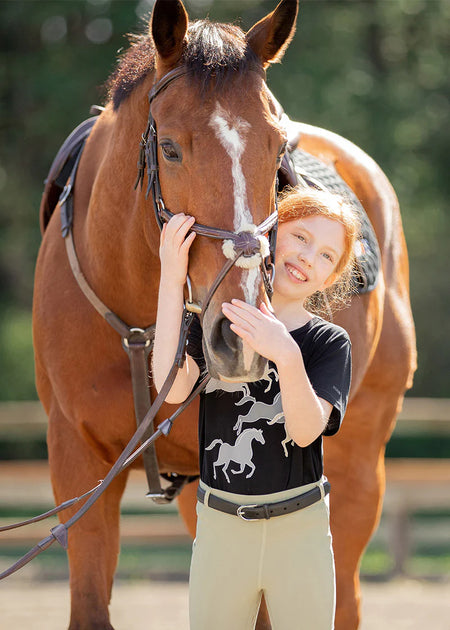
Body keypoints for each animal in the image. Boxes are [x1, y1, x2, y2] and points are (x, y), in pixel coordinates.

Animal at [33, 1, 416, 630]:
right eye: (169, 148)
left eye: (276, 150)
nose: (238, 341)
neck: (139, 324)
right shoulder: (79, 465)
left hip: (358, 466)